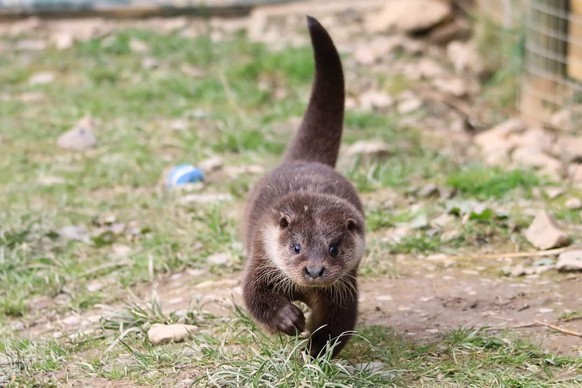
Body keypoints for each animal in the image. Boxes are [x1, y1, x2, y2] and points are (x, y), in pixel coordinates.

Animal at [242, 16, 364, 360]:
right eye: (297, 247)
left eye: (334, 248)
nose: (314, 270)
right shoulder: (261, 261)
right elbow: (254, 297)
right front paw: (287, 319)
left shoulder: (344, 292)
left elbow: (335, 327)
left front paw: (314, 354)